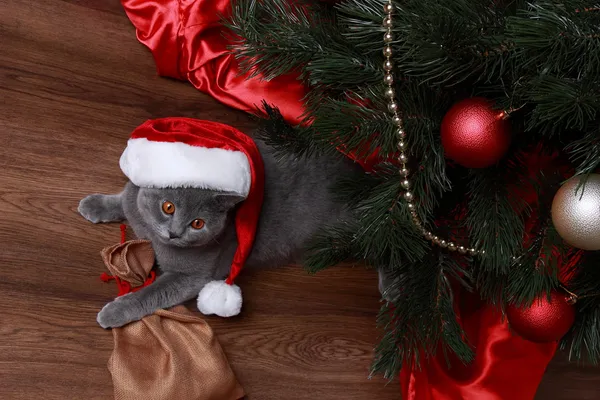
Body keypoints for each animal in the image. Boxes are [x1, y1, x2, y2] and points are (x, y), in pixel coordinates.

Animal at [79, 138, 360, 328]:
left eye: (198, 223)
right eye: (168, 207)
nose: (174, 233)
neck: (152, 235)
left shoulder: (191, 277)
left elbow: (151, 294)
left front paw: (114, 312)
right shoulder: (134, 202)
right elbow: (124, 201)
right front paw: (94, 205)